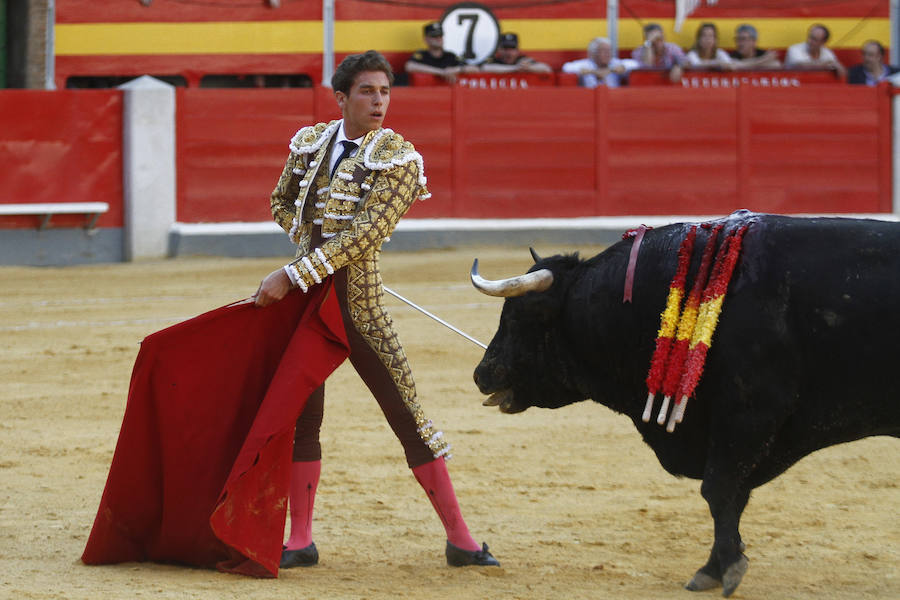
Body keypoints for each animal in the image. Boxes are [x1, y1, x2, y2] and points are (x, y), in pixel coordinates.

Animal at [472, 213, 900, 596]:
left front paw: (724, 570)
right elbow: (733, 495)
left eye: (517, 318)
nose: (480, 374)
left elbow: (719, 490)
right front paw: (717, 565)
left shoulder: (750, 413)